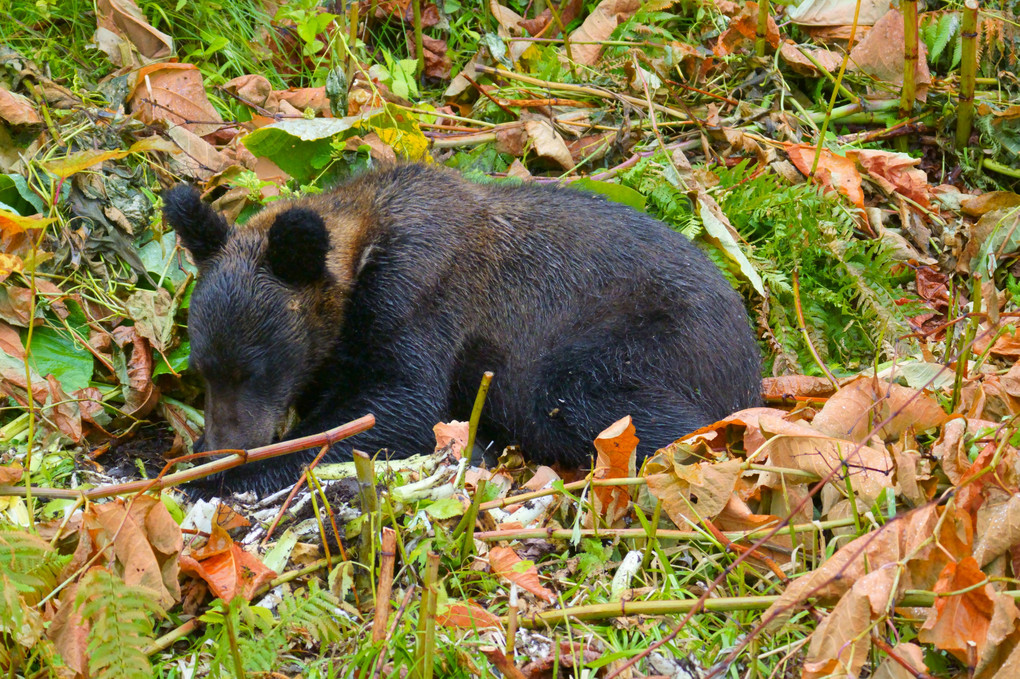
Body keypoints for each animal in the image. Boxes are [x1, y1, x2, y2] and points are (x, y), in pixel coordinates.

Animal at [163, 163, 762, 491]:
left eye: (253, 370)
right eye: (203, 369)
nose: (223, 446)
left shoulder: (419, 296)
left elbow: (400, 406)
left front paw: (221, 476)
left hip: (650, 342)